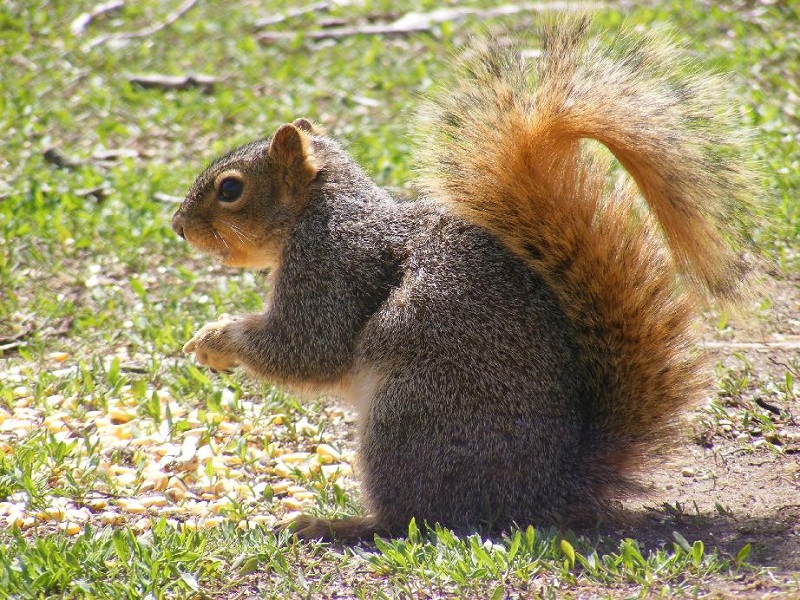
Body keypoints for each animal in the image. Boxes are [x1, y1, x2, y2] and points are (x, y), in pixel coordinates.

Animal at [170, 16, 756, 540]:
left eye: (230, 188)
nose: (177, 226)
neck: (319, 208)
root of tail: (547, 487)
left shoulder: (332, 265)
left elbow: (308, 348)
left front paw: (215, 338)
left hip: (413, 415)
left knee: (410, 518)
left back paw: (335, 523)